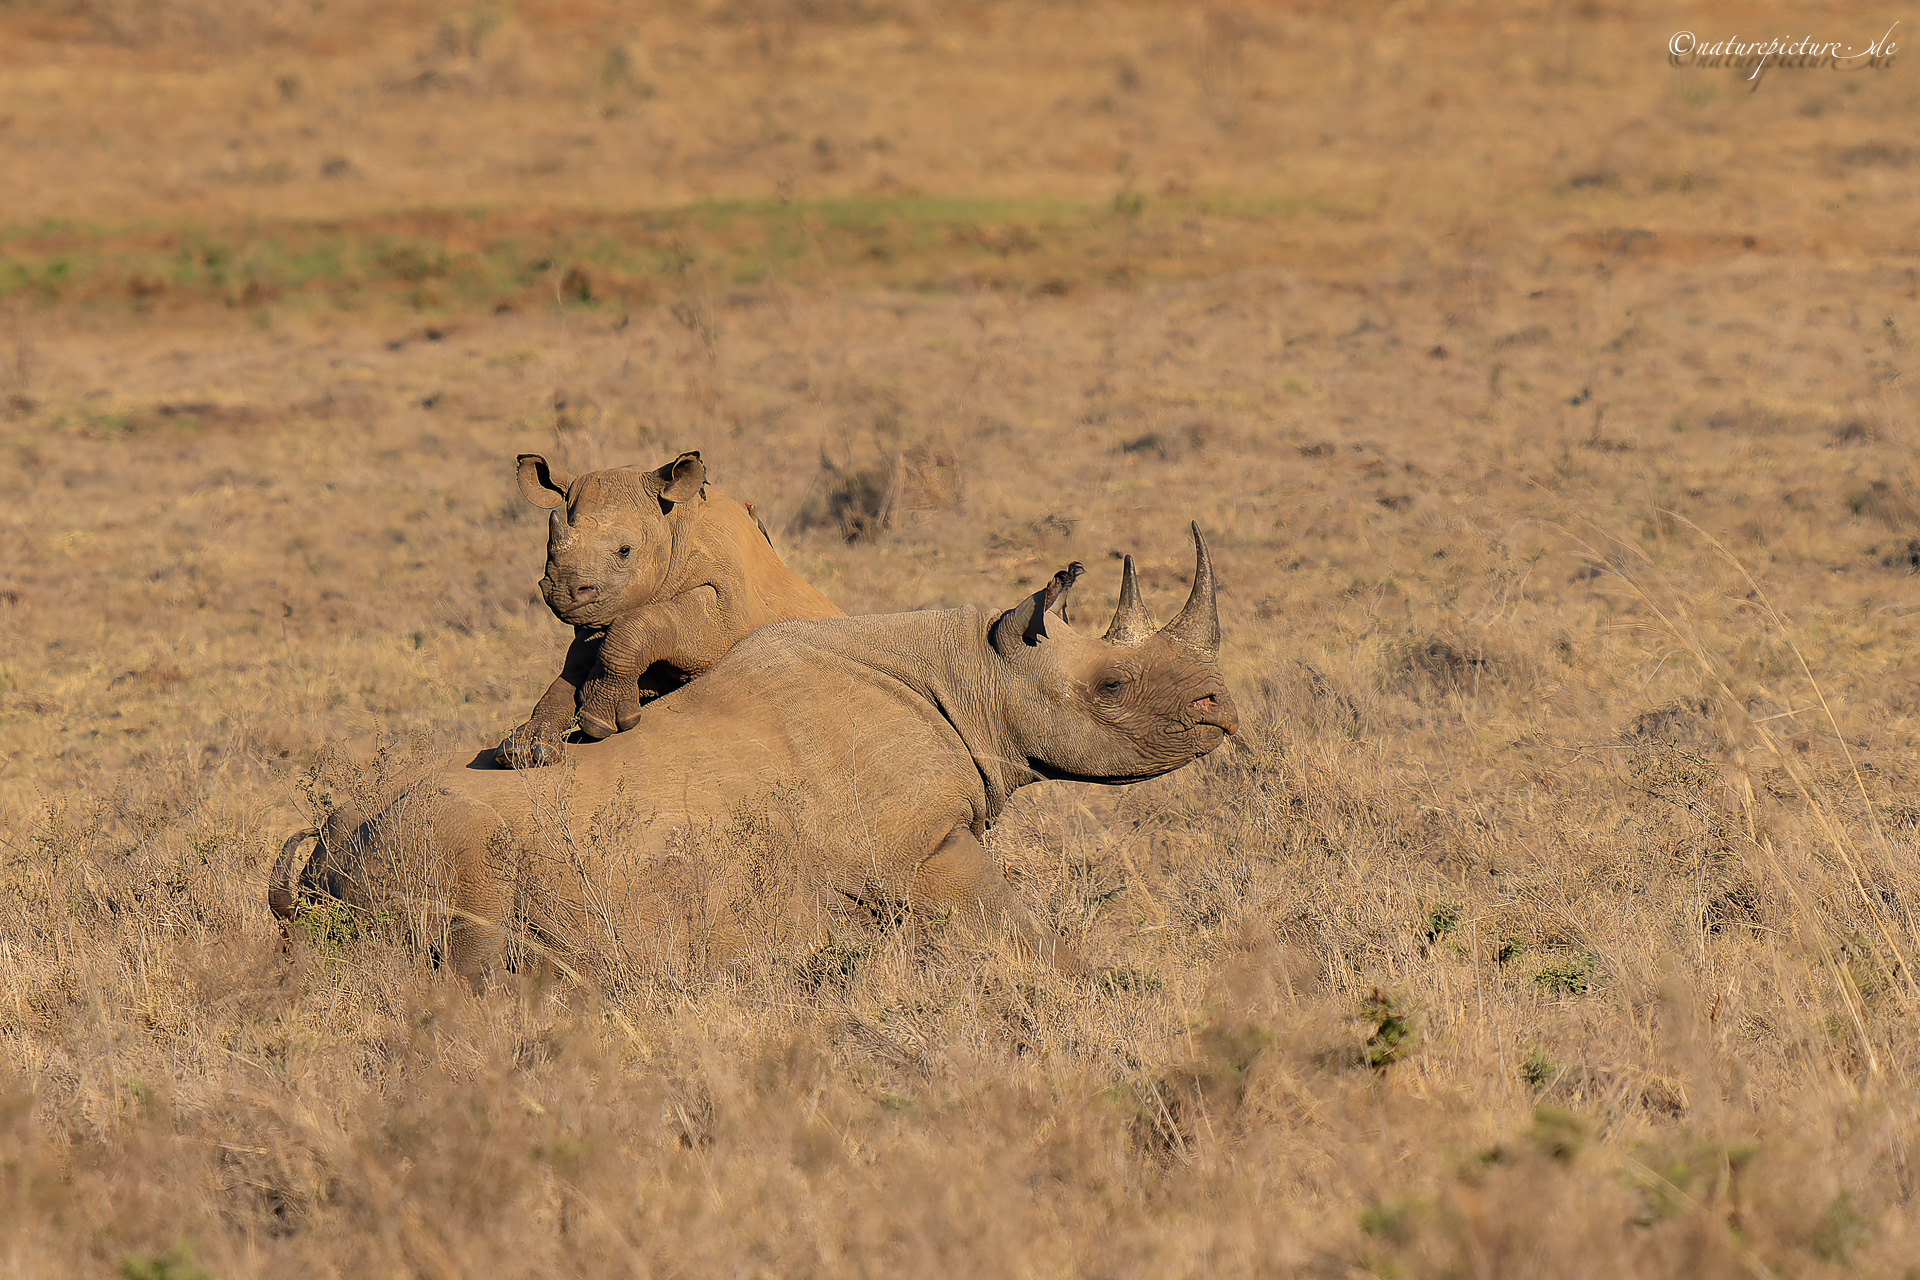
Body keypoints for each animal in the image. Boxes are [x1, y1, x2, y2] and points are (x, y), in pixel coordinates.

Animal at [270, 525, 1236, 990]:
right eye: (1112, 686)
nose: (1220, 708)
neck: (977, 670)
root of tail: (324, 849)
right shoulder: (920, 848)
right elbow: (1016, 926)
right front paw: (1094, 981)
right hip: (428, 835)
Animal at [499, 450, 844, 771]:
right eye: (549, 550)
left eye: (625, 551)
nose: (563, 591)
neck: (670, 524)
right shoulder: (599, 615)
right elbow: (571, 671)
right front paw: (524, 749)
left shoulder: (728, 611)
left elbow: (642, 625)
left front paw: (599, 719)